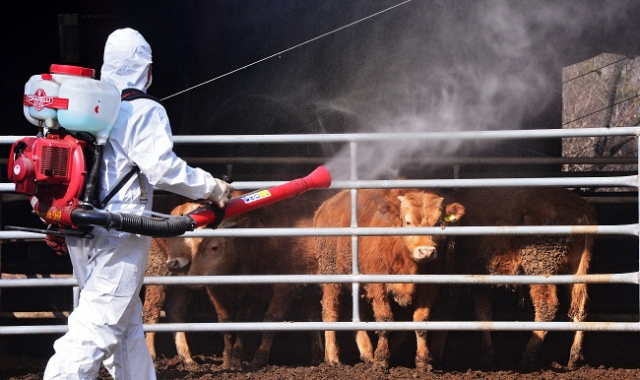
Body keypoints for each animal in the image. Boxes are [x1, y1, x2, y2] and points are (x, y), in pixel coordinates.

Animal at [184, 191, 324, 370]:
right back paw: (315, 356)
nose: (192, 280)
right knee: (313, 315)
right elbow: (231, 322)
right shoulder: (250, 292)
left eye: (214, 247)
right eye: (191, 245)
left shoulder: (285, 287)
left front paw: (258, 358)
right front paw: (230, 359)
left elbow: (270, 319)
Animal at [448, 189, 596, 370]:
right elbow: (483, 312)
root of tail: (582, 208)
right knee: (581, 305)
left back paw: (527, 357)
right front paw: (487, 355)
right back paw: (574, 357)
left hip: (539, 267)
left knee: (547, 306)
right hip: (575, 269)